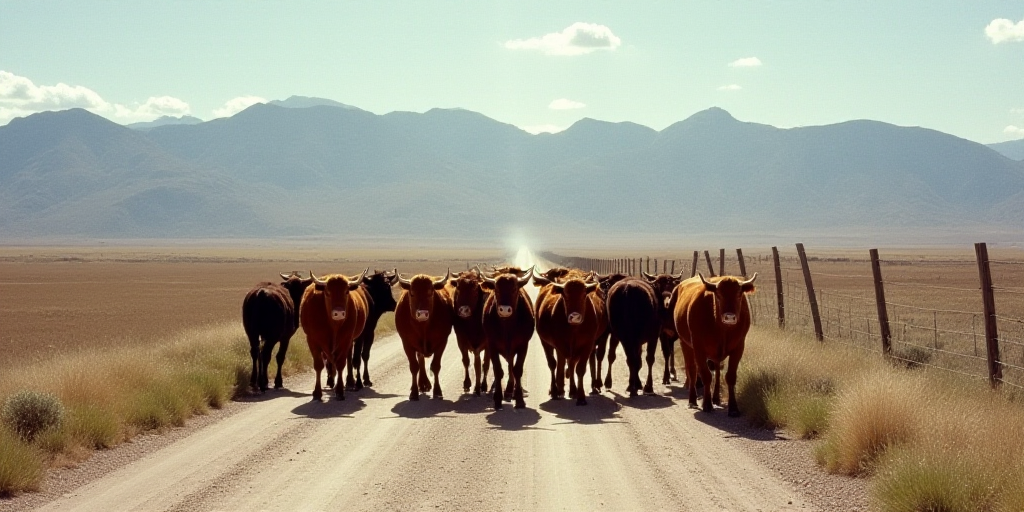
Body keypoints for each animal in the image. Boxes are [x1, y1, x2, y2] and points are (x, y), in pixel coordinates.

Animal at [299, 269, 368, 401]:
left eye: (346, 291)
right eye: (327, 292)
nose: (339, 313)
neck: (333, 325)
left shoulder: (346, 339)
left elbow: (341, 363)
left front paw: (340, 390)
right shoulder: (313, 340)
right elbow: (318, 365)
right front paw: (317, 392)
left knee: (347, 359)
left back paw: (349, 381)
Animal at [394, 270, 453, 401]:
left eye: (430, 292)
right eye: (412, 293)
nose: (422, 314)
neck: (423, 327)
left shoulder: (442, 342)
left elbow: (435, 366)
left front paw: (437, 391)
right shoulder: (406, 343)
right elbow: (414, 367)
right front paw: (414, 392)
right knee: (420, 360)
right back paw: (422, 383)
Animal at [481, 267, 535, 409]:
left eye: (514, 288)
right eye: (496, 289)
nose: (504, 310)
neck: (507, 327)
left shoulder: (523, 345)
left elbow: (517, 370)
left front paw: (520, 399)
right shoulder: (492, 346)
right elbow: (498, 370)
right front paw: (498, 399)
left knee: (512, 366)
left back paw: (511, 390)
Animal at [534, 272, 604, 406]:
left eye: (584, 295)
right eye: (565, 296)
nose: (575, 317)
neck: (574, 328)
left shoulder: (587, 345)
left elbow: (579, 369)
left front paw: (580, 396)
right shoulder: (559, 345)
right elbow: (560, 366)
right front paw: (559, 389)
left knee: (570, 364)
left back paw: (572, 390)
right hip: (545, 343)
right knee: (553, 364)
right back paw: (556, 390)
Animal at [673, 273, 757, 416]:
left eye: (739, 294)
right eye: (718, 295)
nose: (729, 317)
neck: (722, 329)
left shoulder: (738, 348)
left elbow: (730, 377)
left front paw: (733, 408)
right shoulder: (698, 349)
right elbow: (706, 376)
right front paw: (707, 404)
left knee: (717, 371)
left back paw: (716, 398)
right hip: (686, 344)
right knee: (692, 370)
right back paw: (692, 400)